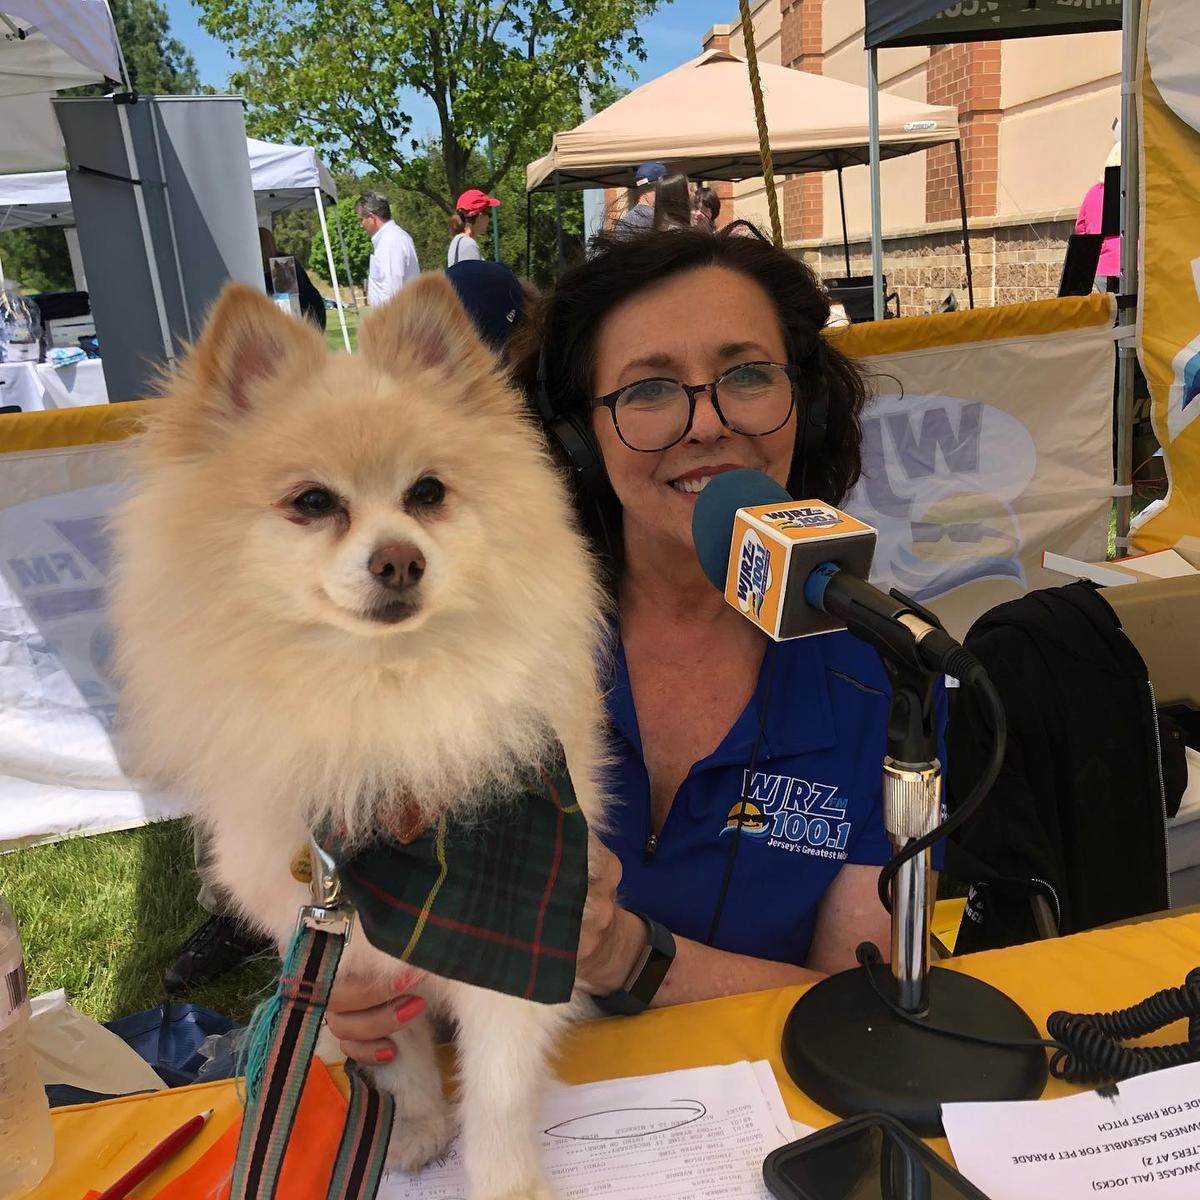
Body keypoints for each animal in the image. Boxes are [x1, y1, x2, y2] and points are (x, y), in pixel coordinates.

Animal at [112, 274, 609, 1200]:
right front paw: (411, 1134)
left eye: (428, 494)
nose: (399, 559)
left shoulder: (517, 968)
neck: (379, 704)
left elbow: (498, 1095)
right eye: (313, 503)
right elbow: (399, 1063)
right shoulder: (352, 962)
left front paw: (505, 1183)